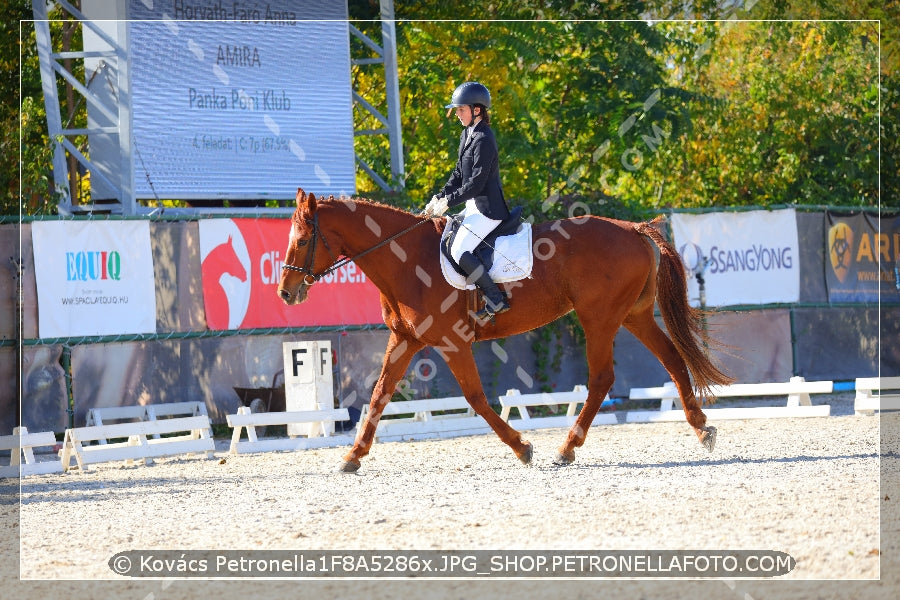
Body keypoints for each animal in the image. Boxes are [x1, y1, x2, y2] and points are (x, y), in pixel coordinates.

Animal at [280, 190, 732, 472]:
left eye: (301, 240)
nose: (285, 293)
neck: (406, 260)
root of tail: (634, 229)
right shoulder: (405, 339)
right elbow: (378, 397)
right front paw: (352, 458)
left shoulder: (452, 343)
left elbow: (477, 399)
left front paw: (523, 448)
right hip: (633, 316)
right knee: (671, 358)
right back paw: (702, 428)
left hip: (599, 318)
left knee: (602, 378)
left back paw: (566, 449)